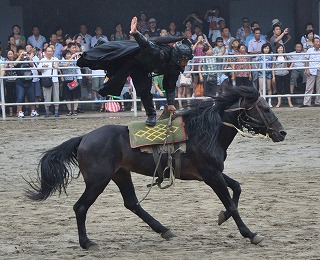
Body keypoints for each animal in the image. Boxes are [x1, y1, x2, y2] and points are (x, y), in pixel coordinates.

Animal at [26, 86, 286, 250]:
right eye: (264, 108)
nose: (282, 133)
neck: (206, 131)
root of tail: (84, 138)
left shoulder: (212, 174)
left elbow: (237, 189)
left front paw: (222, 217)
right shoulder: (211, 175)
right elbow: (231, 203)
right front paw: (250, 234)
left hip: (121, 174)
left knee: (132, 203)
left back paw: (163, 229)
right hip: (98, 180)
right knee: (80, 207)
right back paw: (87, 243)